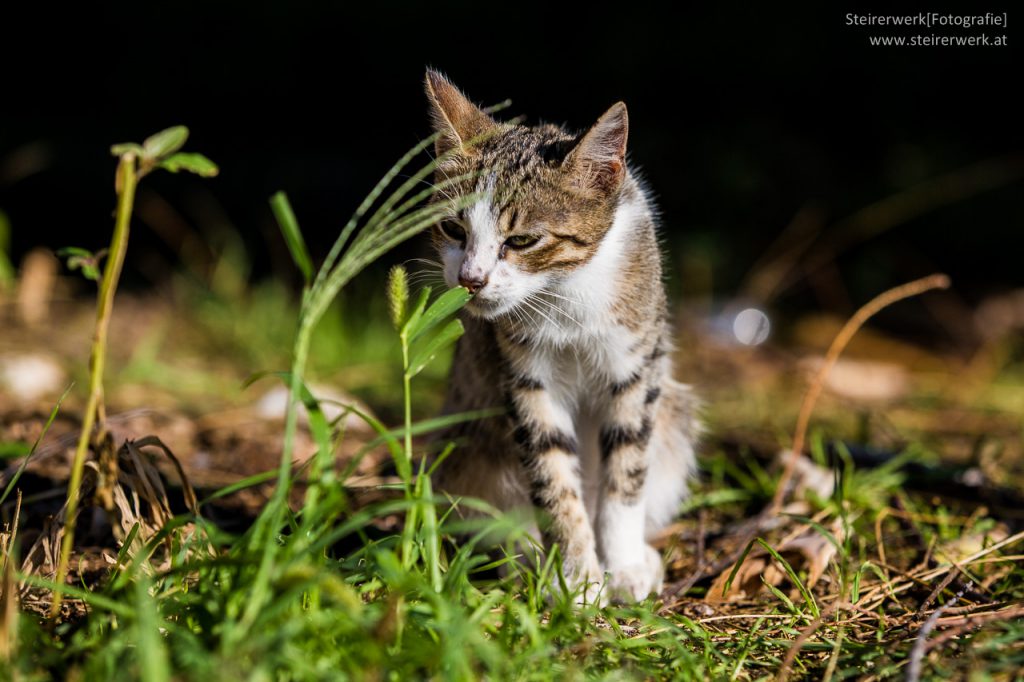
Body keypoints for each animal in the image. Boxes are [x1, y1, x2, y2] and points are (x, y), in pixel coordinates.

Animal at [421, 69, 696, 602]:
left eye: (523, 240)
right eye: (452, 229)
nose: (470, 279)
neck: (563, 295)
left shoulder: (637, 363)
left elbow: (627, 470)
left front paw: (623, 566)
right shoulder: (527, 378)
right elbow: (552, 474)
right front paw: (577, 579)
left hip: (676, 416)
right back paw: (524, 554)